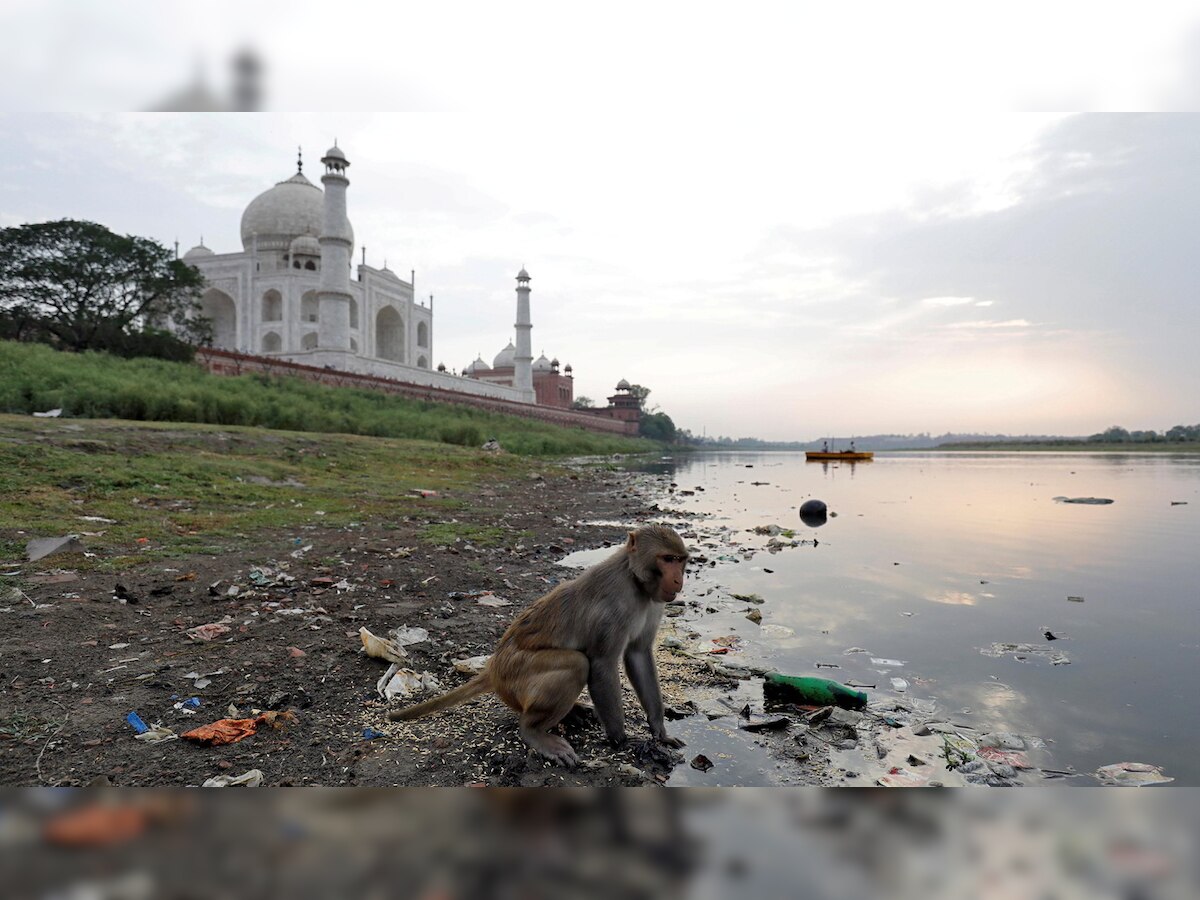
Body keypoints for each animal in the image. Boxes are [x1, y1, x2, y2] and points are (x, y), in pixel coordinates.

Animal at [391, 525, 691, 763]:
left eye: (680, 560)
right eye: (667, 559)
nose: (679, 579)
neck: (635, 581)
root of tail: (493, 667)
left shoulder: (654, 603)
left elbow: (639, 655)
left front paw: (659, 731)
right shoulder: (614, 608)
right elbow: (602, 664)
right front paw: (621, 740)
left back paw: (573, 711)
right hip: (515, 674)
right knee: (576, 664)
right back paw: (534, 731)